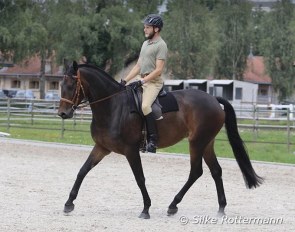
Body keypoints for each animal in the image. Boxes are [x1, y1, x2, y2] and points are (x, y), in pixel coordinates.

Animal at [57, 60, 264, 219]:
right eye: (61, 86)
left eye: (72, 86)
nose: (62, 113)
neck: (113, 106)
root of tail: (213, 99)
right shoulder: (101, 147)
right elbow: (82, 171)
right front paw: (68, 203)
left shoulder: (131, 150)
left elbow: (139, 178)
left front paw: (146, 208)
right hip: (207, 143)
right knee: (216, 171)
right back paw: (220, 208)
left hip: (196, 142)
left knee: (196, 172)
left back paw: (173, 205)